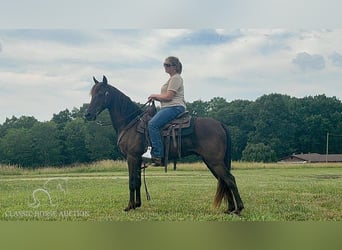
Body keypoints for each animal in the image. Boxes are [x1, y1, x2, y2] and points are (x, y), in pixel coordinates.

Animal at [86, 75, 246, 214]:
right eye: (92, 94)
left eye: (101, 93)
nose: (87, 115)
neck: (130, 123)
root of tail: (220, 124)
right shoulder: (137, 160)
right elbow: (137, 182)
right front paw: (137, 204)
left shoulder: (132, 157)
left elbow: (132, 182)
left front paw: (129, 206)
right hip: (211, 162)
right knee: (224, 181)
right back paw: (230, 208)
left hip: (214, 161)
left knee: (230, 179)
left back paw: (238, 209)